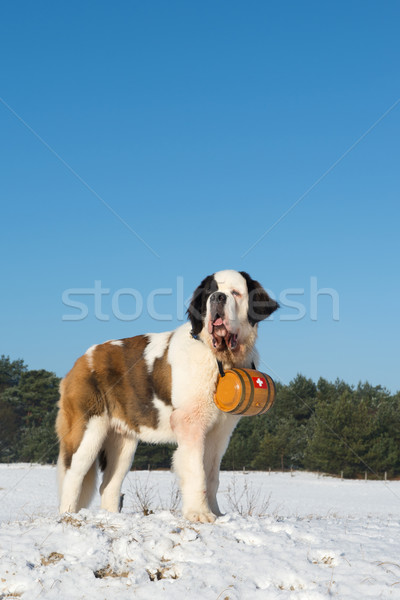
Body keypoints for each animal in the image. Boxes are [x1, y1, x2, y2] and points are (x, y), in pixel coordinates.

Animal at [56, 270, 278, 524]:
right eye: (210, 293)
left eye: (235, 293)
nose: (218, 297)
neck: (219, 357)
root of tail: (82, 360)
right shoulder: (191, 424)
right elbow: (196, 471)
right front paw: (199, 514)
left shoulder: (220, 433)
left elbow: (212, 475)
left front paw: (216, 513)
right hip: (88, 431)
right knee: (73, 476)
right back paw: (67, 515)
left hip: (123, 443)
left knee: (108, 485)